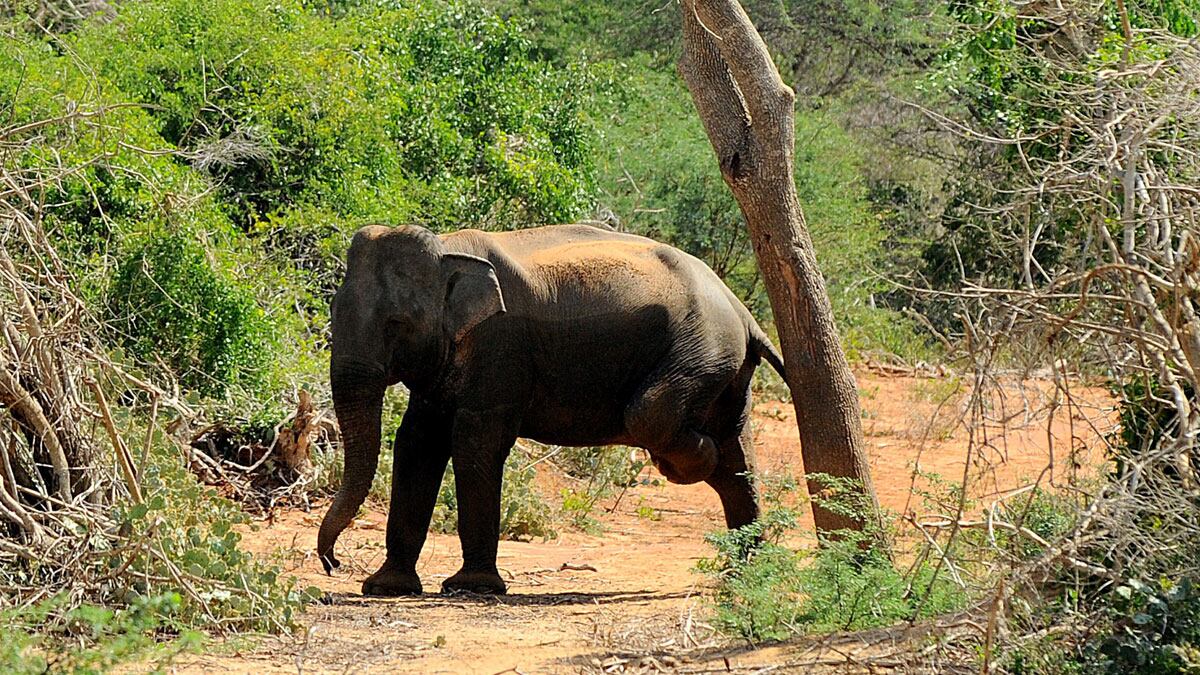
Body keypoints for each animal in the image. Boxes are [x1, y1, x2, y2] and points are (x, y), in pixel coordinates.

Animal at [317, 223, 787, 596]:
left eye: (397, 324)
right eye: (333, 309)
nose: (332, 563)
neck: (449, 250)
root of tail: (742, 311)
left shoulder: (499, 345)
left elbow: (475, 442)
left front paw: (471, 587)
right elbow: (417, 442)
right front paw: (386, 587)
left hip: (704, 349)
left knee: (655, 416)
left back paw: (696, 466)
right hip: (724, 365)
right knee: (736, 456)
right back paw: (743, 574)